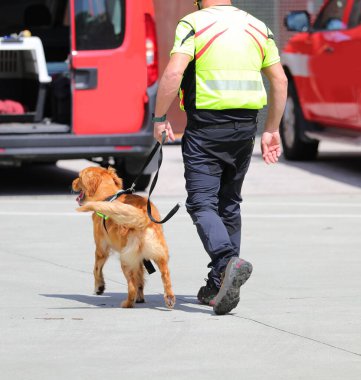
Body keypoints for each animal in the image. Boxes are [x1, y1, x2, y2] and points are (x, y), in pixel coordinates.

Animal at [71, 166, 175, 308]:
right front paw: (140, 298)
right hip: (160, 256)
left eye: (79, 177)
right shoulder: (139, 260)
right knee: (165, 277)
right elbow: (140, 279)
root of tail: (143, 217)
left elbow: (96, 269)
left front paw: (99, 287)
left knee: (131, 287)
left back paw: (127, 303)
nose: (72, 182)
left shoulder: (101, 249)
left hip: (125, 261)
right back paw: (169, 299)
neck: (107, 196)